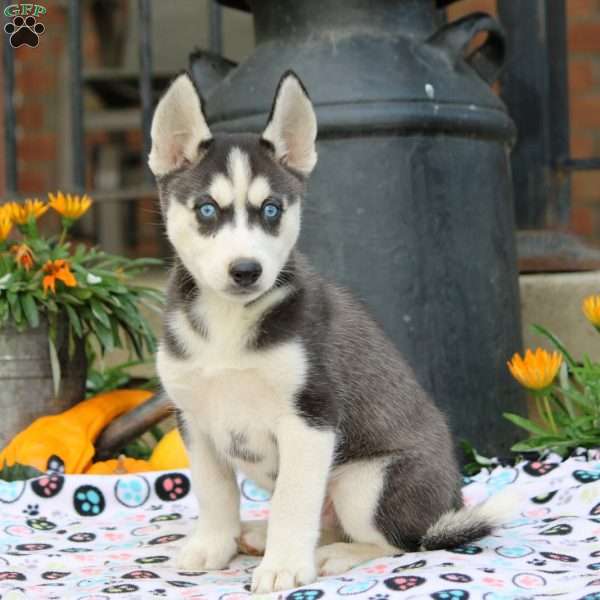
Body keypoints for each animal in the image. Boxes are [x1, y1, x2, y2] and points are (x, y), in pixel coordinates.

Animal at [149, 71, 506, 596]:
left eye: (271, 210)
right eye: (207, 210)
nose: (246, 271)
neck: (229, 323)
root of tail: (447, 510)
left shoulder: (310, 418)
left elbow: (294, 501)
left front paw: (283, 567)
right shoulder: (195, 418)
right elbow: (215, 493)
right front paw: (213, 544)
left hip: (366, 481)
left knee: (398, 543)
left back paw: (334, 553)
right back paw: (256, 534)